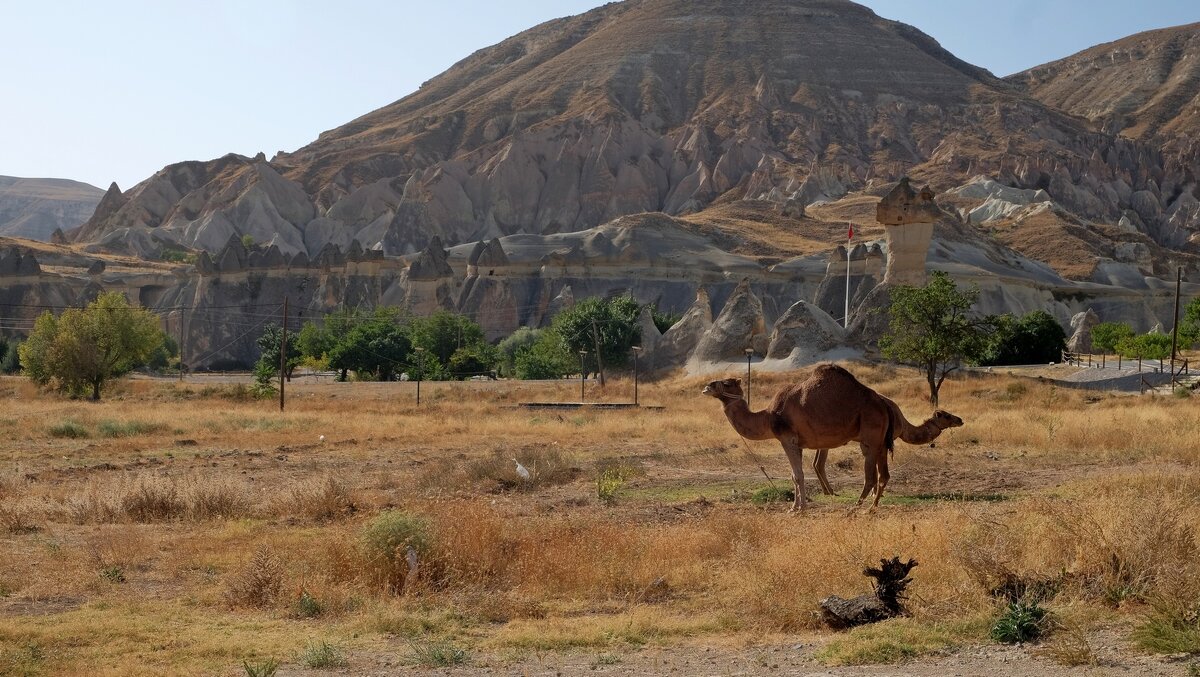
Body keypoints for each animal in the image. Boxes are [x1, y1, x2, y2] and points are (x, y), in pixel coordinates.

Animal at [700, 362, 964, 511]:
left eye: (726, 383)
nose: (706, 387)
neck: (768, 416)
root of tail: (883, 403)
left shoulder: (788, 439)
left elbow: (797, 475)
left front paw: (798, 509)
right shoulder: (796, 442)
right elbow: (795, 475)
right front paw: (796, 506)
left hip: (870, 439)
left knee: (871, 476)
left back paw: (857, 508)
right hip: (878, 441)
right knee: (882, 475)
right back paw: (870, 507)